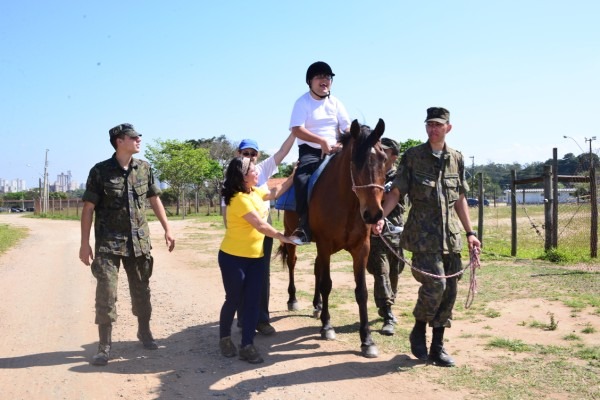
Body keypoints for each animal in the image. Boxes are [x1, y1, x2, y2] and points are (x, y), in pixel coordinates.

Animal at [280, 117, 386, 358]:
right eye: (355, 161)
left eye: (384, 159)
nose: (373, 214)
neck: (347, 202)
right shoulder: (325, 244)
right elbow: (327, 284)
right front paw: (327, 327)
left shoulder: (361, 249)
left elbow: (361, 292)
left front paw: (367, 340)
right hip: (292, 236)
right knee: (293, 263)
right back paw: (293, 300)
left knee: (316, 268)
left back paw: (317, 306)